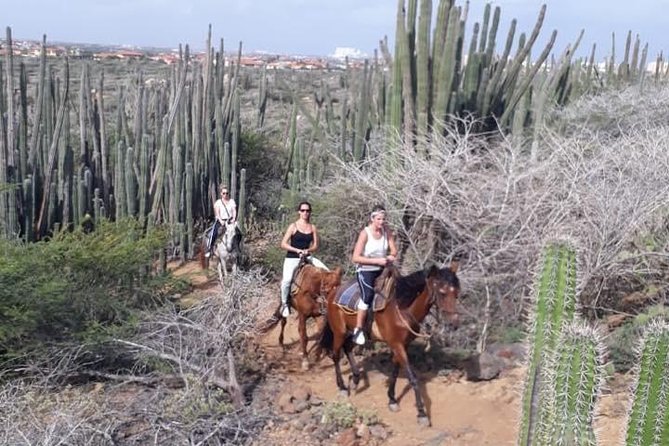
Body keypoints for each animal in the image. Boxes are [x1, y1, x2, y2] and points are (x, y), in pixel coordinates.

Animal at [318, 262, 460, 426]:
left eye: (457, 292)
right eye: (442, 293)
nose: (454, 324)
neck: (402, 307)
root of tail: (333, 293)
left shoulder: (402, 345)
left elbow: (395, 372)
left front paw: (392, 399)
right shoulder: (397, 345)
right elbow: (413, 378)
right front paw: (422, 413)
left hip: (352, 332)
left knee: (347, 349)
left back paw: (355, 379)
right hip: (339, 331)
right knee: (335, 355)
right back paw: (342, 387)